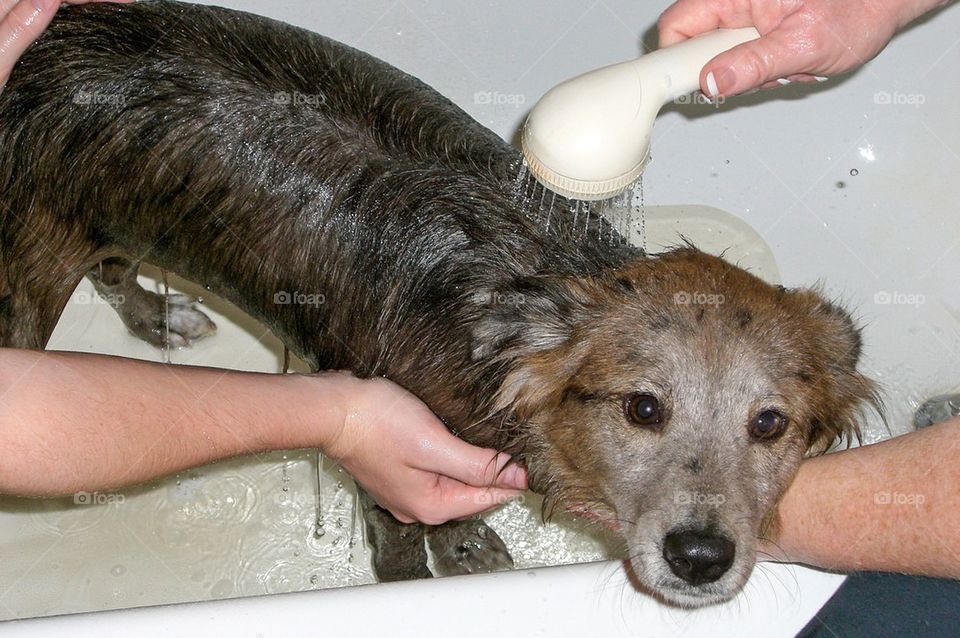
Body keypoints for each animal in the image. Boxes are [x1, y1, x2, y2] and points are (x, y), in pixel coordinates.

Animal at [0, 1, 876, 608]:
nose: (700, 557)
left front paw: (469, 547)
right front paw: (421, 577)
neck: (494, 315)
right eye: (643, 408)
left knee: (114, 271)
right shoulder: (388, 449)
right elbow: (402, 532)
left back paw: (161, 318)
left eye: (771, 425)